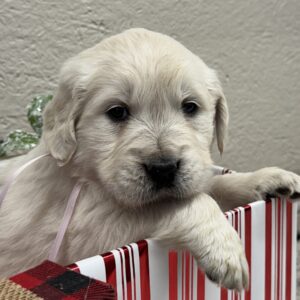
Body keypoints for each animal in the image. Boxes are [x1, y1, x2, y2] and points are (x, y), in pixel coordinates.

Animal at [0, 28, 300, 290]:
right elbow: (177, 204)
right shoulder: (88, 232)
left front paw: (268, 177)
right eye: (117, 112)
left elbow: (214, 185)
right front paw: (224, 249)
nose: (164, 168)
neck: (84, 175)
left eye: (190, 107)